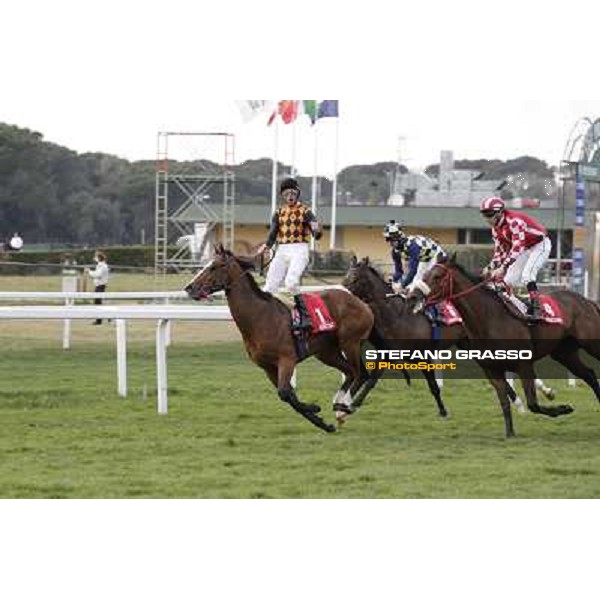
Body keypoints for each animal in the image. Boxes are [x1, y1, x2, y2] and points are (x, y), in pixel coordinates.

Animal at [183, 246, 372, 434]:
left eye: (215, 266)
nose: (189, 288)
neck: (259, 317)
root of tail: (359, 301)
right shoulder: (267, 367)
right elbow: (288, 395)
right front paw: (321, 421)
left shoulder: (287, 359)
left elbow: (284, 392)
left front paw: (315, 409)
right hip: (327, 352)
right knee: (350, 372)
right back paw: (339, 406)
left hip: (350, 342)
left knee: (359, 373)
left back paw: (344, 407)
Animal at [408, 256, 600, 436]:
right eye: (424, 275)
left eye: (437, 276)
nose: (413, 296)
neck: (489, 318)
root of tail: (587, 301)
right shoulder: (492, 370)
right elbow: (505, 403)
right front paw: (510, 433)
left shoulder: (524, 365)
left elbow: (533, 404)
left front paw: (563, 408)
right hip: (564, 353)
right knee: (589, 375)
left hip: (591, 344)